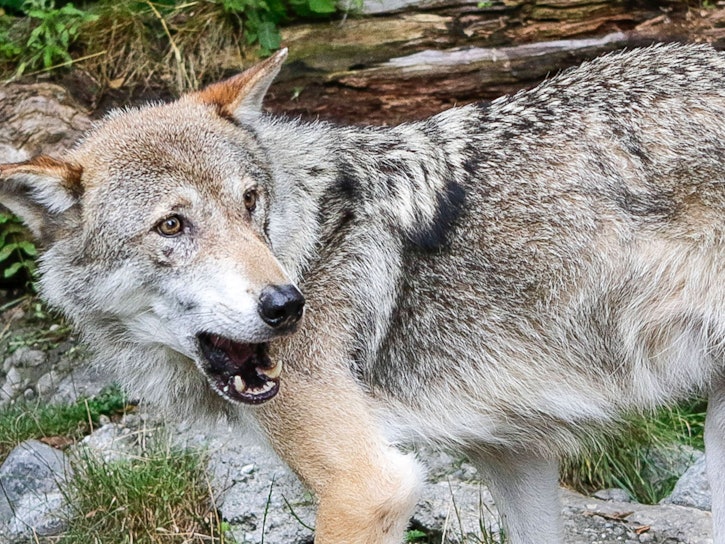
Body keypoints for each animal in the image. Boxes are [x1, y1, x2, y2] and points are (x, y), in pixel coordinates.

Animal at [1, 43, 725, 544]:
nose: (287, 306)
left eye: (249, 201)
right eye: (172, 226)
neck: (308, 242)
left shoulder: (367, 485)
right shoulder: (516, 454)